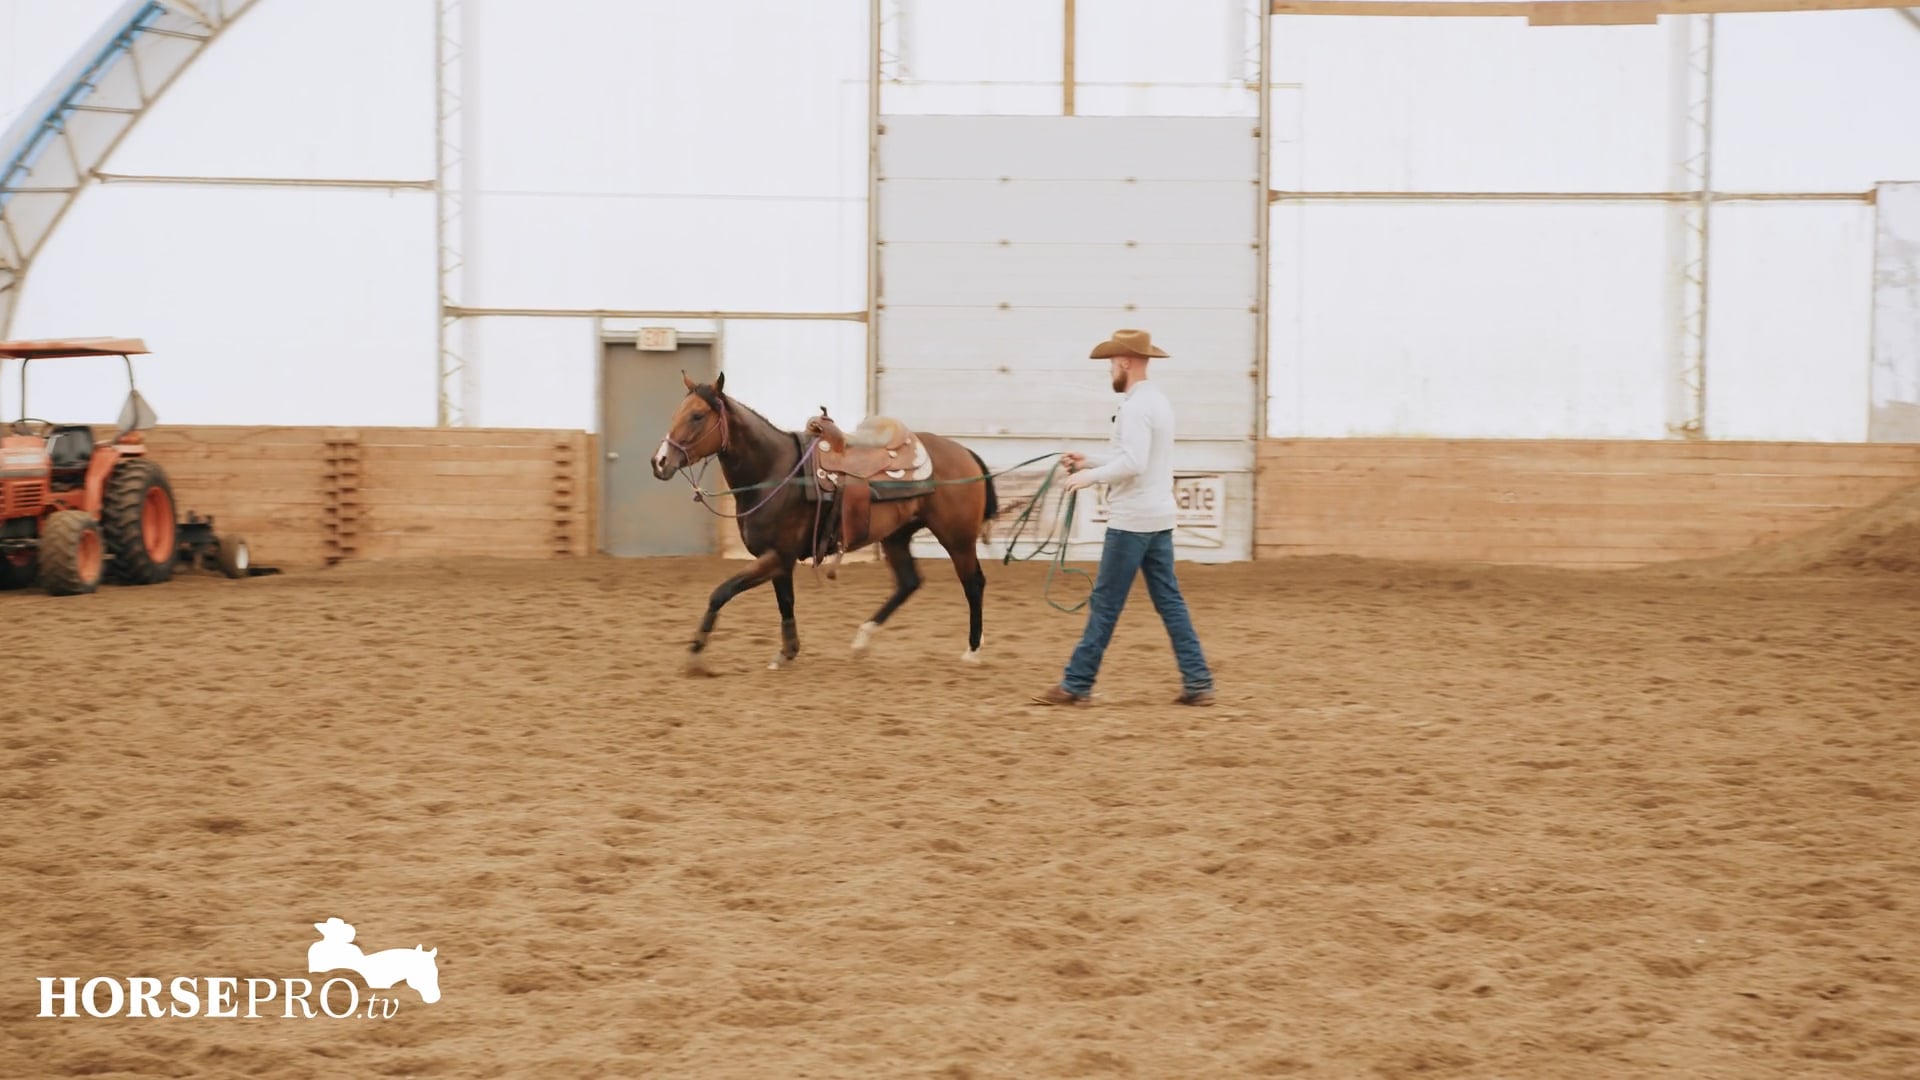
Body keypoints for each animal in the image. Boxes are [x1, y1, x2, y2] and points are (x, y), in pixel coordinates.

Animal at [649, 372, 1001, 673]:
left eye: (697, 416)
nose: (660, 461)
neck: (776, 471)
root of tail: (964, 451)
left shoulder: (777, 555)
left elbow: (722, 591)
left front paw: (696, 652)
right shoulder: (780, 559)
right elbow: (785, 602)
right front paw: (787, 651)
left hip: (956, 538)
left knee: (973, 583)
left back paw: (973, 650)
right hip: (897, 536)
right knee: (908, 582)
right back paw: (862, 640)